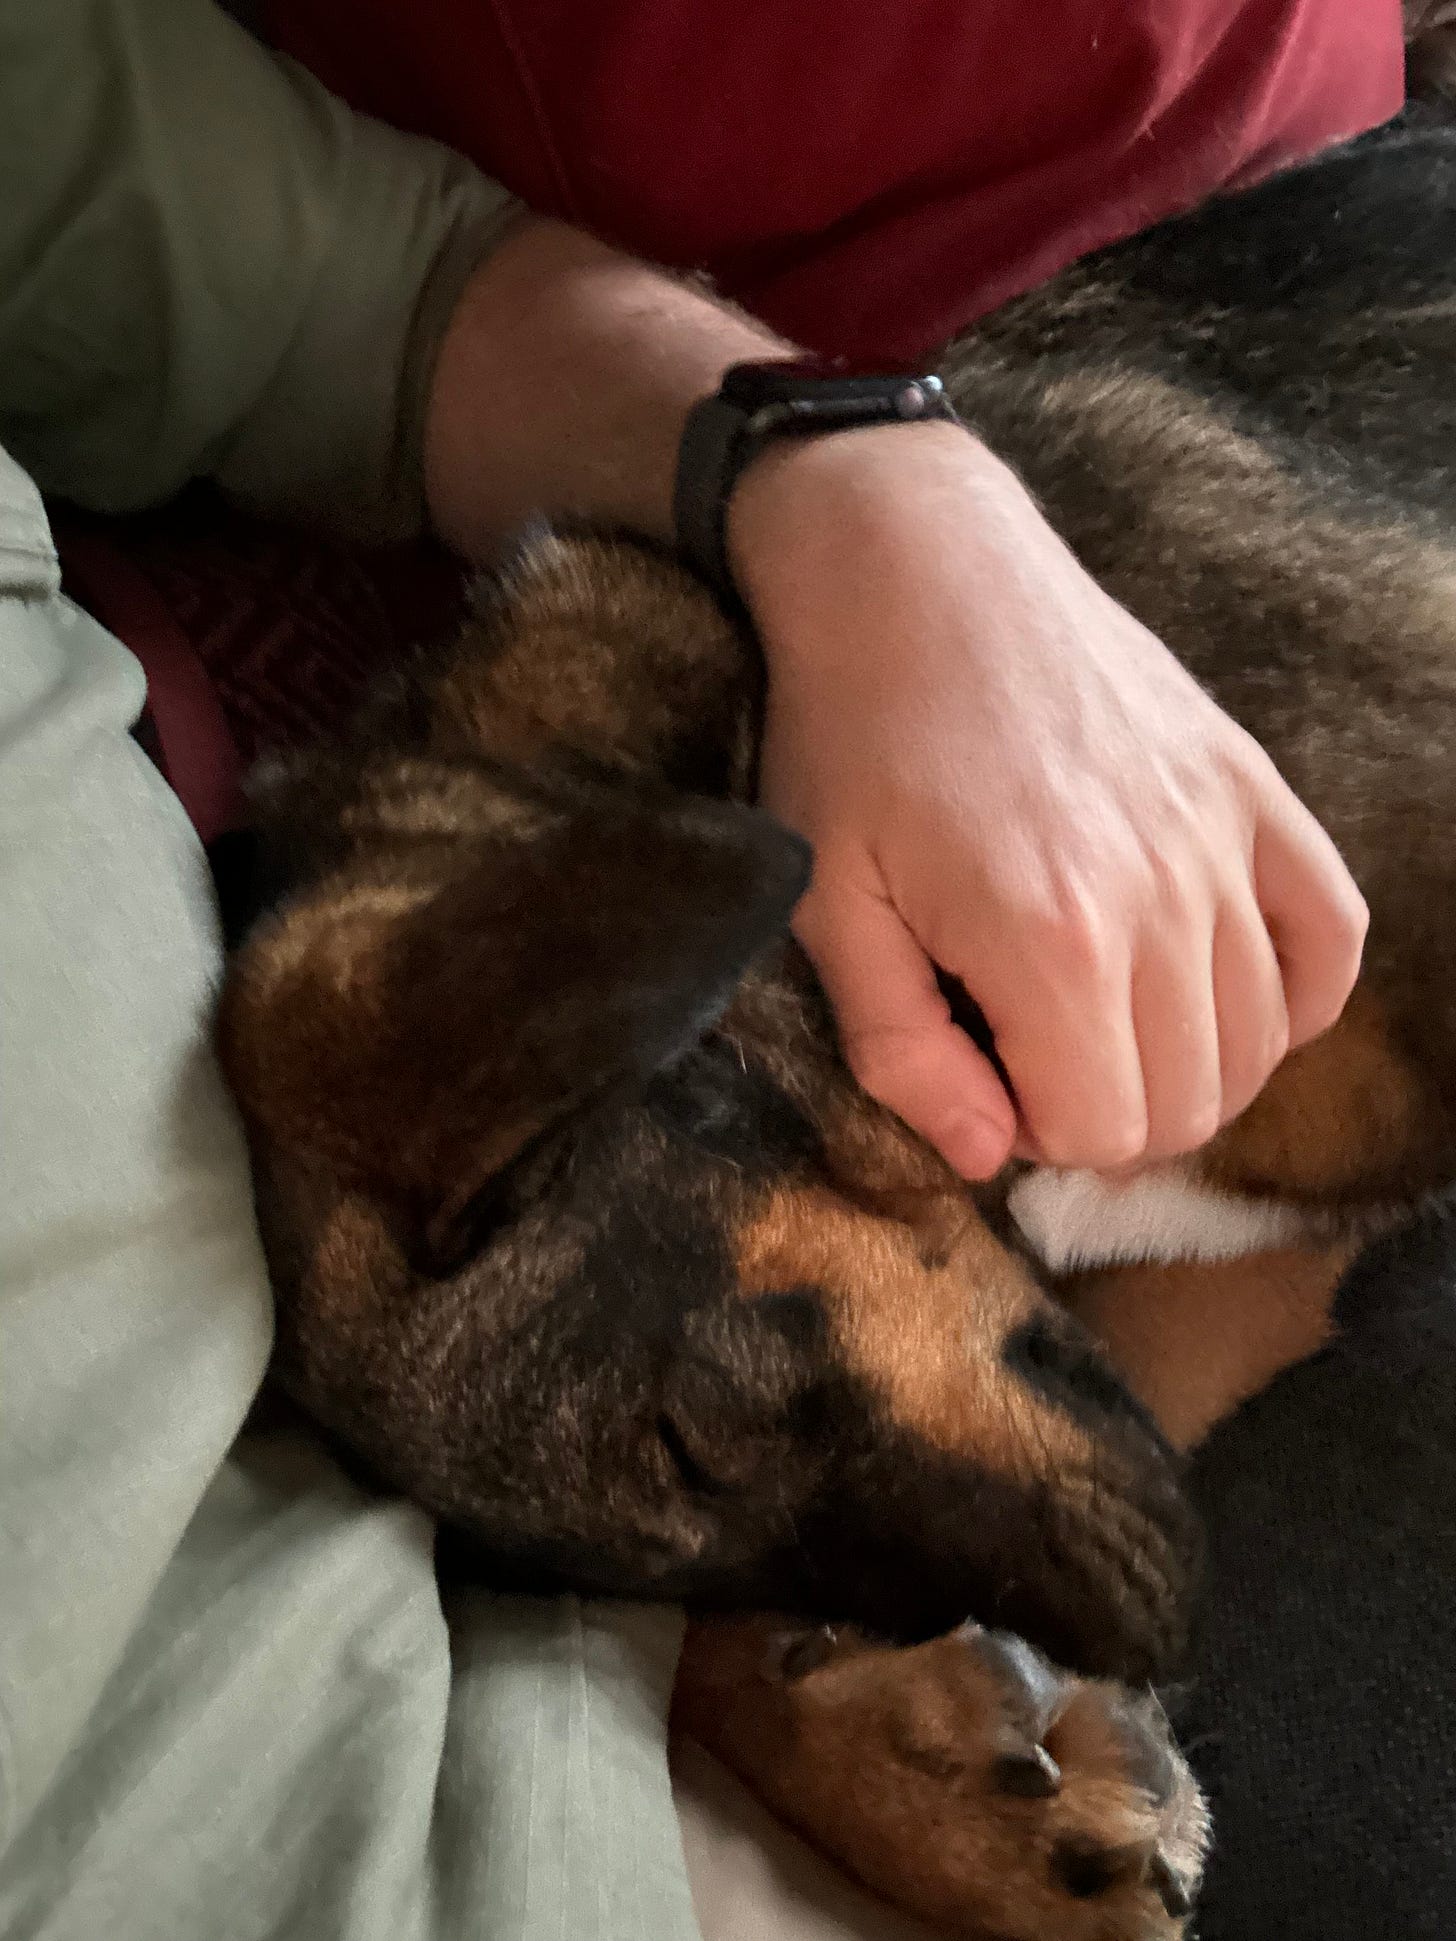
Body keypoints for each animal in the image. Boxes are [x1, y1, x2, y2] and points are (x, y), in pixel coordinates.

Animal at [216, 121, 1456, 1941]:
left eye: (699, 1440)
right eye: (661, 1538)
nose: (1167, 1634)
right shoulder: (1209, 1269)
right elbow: (706, 1677)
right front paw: (947, 1790)